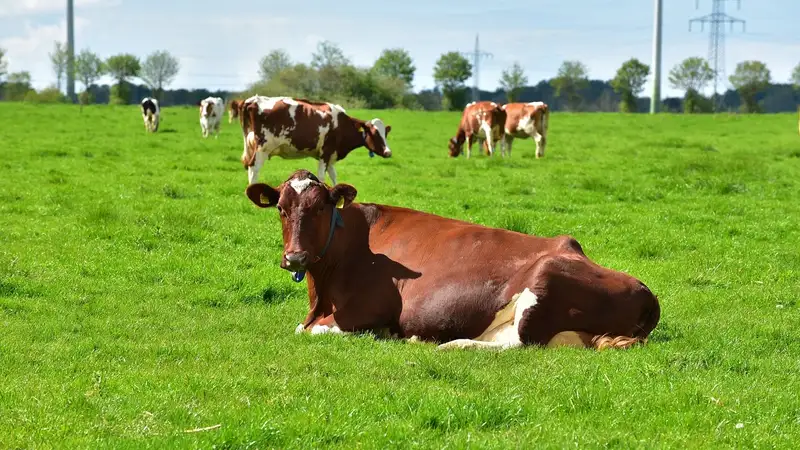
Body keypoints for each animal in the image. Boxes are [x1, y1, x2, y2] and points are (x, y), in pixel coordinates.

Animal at [239, 95, 392, 186]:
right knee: (254, 168)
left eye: (385, 133)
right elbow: (321, 176)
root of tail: (253, 100)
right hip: (262, 148)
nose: (388, 152)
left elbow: (333, 175)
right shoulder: (326, 152)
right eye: (374, 133)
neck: (342, 124)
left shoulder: (330, 155)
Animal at [244, 169, 664, 352]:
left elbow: (310, 331)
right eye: (281, 208)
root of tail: (647, 292)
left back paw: (452, 345)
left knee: (520, 343)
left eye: (320, 208)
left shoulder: (368, 311)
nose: (294, 256)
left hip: (543, 281)